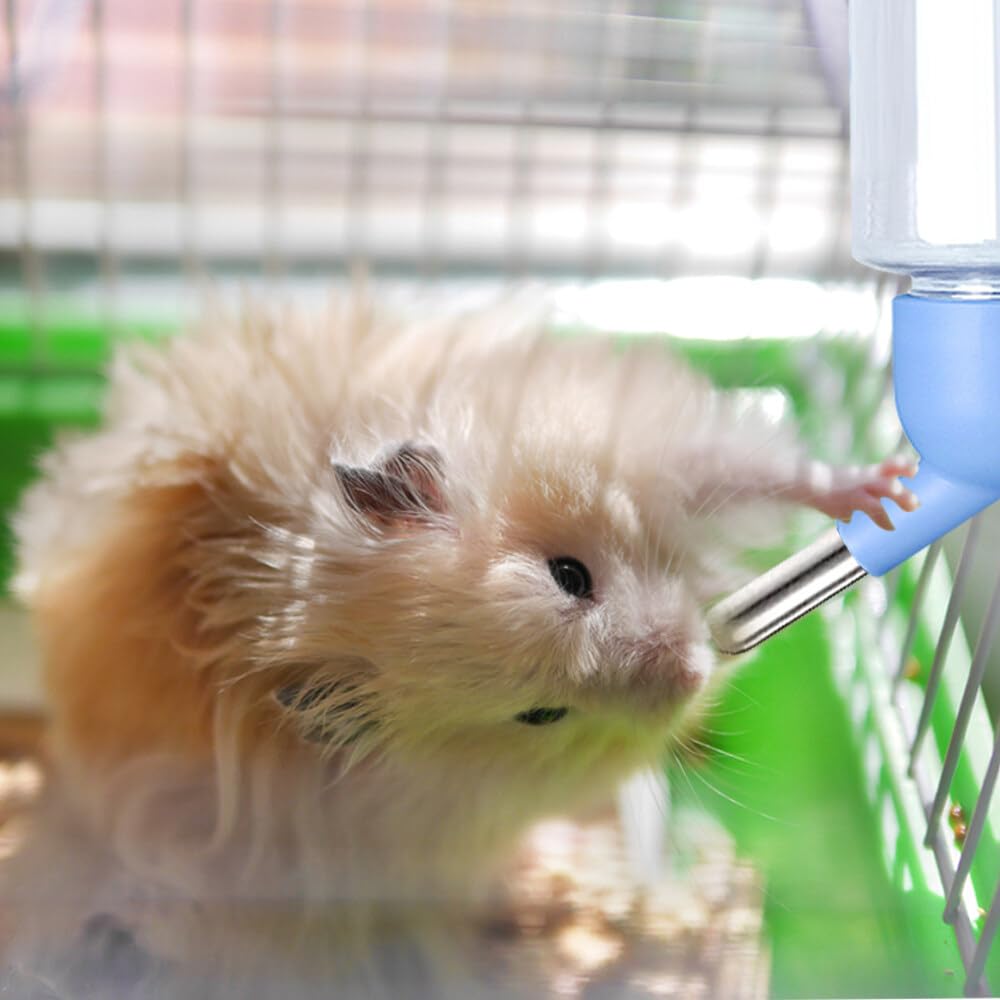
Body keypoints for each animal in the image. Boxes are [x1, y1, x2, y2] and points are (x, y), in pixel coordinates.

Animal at [4, 294, 914, 997]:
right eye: (540, 715)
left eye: (569, 574)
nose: (696, 672)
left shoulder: (639, 441)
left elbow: (750, 466)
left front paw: (880, 492)